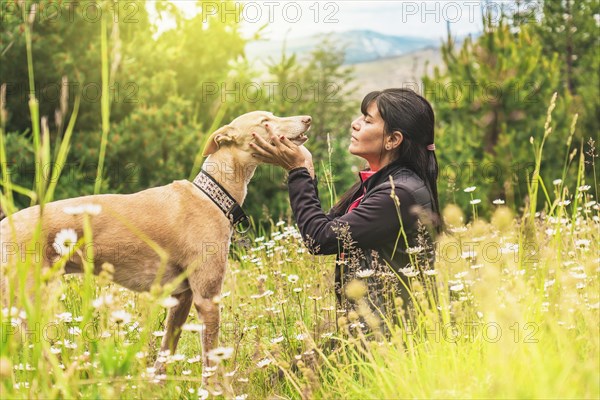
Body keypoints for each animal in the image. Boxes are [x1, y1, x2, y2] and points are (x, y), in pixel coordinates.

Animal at [3, 111, 314, 376]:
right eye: (265, 121)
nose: (307, 119)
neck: (212, 196)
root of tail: (4, 224)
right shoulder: (207, 298)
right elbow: (211, 362)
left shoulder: (181, 298)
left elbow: (165, 353)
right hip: (25, 302)